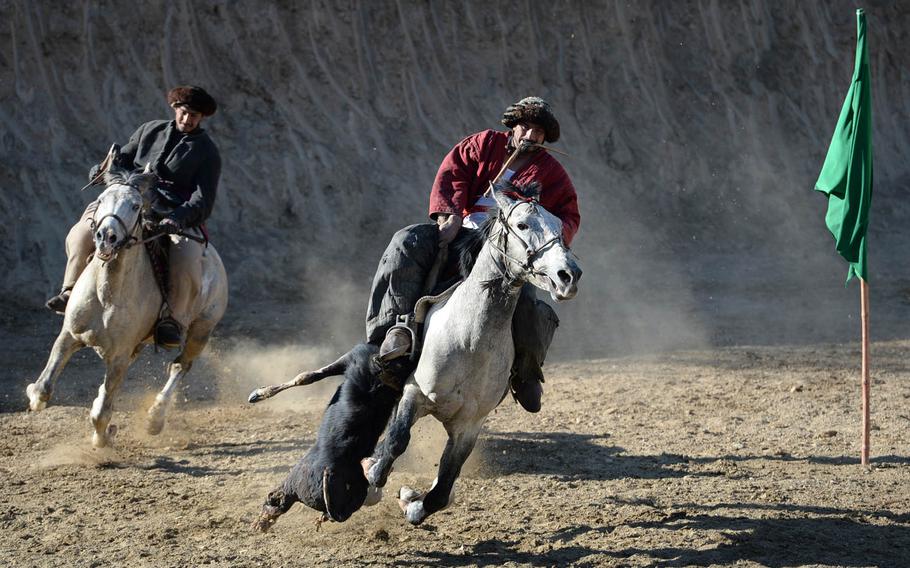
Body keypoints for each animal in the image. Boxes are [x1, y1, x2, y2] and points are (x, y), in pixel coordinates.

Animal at [28, 164, 230, 448]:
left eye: (135, 205)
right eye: (101, 199)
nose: (106, 237)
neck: (106, 294)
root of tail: (215, 261)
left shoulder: (119, 356)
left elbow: (102, 415)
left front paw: (105, 436)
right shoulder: (69, 336)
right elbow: (44, 387)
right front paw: (34, 394)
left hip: (201, 330)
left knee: (180, 366)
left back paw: (155, 417)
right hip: (140, 343)